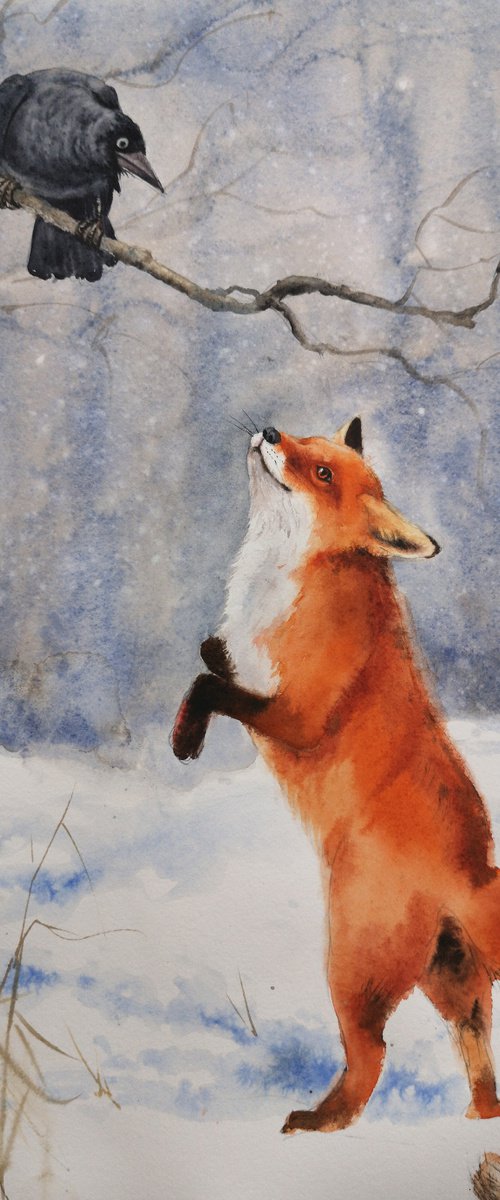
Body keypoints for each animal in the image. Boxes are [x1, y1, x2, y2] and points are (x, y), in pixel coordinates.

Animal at [172, 417, 500, 1134]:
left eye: (323, 473)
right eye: (302, 438)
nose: (268, 429)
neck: (288, 581)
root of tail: (473, 871)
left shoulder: (298, 715)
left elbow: (212, 687)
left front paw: (185, 738)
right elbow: (214, 660)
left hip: (350, 970)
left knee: (370, 1056)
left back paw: (313, 1125)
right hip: (453, 988)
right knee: (478, 1063)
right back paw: (474, 1122)